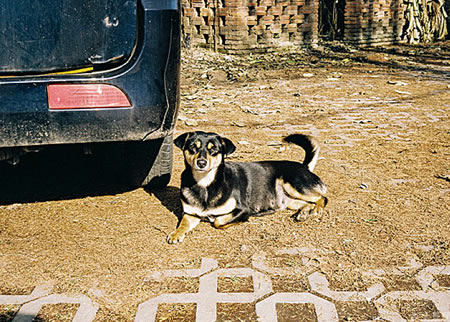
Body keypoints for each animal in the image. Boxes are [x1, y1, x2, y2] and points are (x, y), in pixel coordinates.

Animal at [167, 131, 328, 244]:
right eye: (193, 147)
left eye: (214, 150)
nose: (201, 163)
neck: (205, 183)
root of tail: (304, 166)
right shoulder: (191, 214)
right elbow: (183, 223)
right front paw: (175, 234)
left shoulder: (242, 210)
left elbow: (219, 221)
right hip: (290, 201)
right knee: (307, 203)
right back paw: (304, 212)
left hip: (294, 184)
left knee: (322, 197)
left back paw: (317, 210)